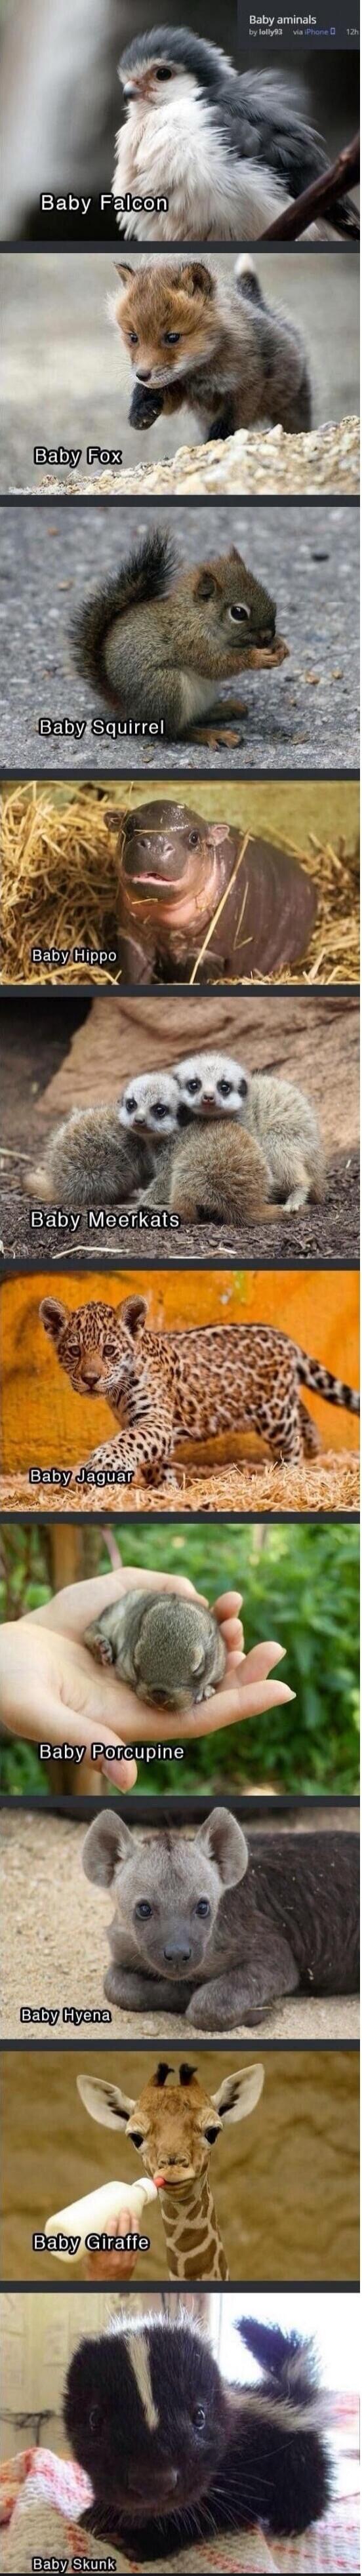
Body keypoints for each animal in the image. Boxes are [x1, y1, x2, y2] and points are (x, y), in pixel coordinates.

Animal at [71, 526, 287, 737]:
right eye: (238, 613)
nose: (269, 634)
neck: (197, 616)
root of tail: (131, 712)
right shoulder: (190, 641)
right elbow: (215, 665)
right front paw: (257, 658)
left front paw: (280, 646)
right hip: (166, 687)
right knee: (176, 731)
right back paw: (210, 735)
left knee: (198, 716)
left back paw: (225, 709)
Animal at [112, 253, 312, 446]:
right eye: (133, 337)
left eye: (172, 337)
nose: (142, 375)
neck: (200, 373)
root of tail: (259, 304)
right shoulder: (179, 389)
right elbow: (155, 394)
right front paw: (141, 410)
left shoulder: (248, 386)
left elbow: (230, 421)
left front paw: (217, 439)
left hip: (290, 408)